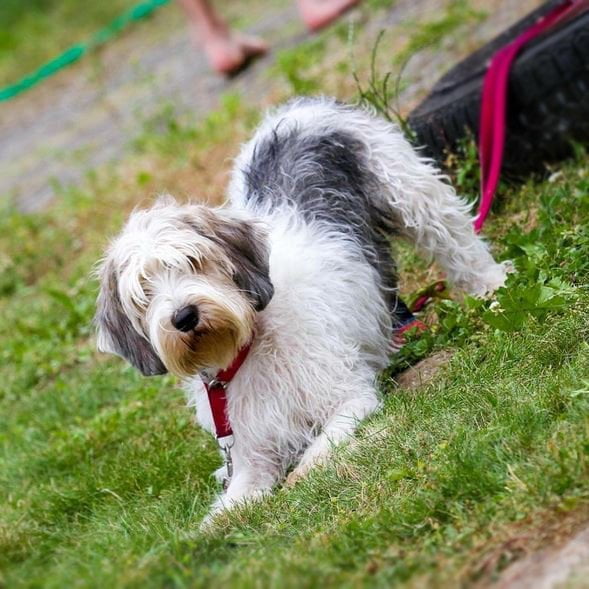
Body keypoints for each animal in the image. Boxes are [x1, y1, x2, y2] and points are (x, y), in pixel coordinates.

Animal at [94, 97, 508, 520]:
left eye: (195, 261)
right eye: (144, 292)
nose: (184, 316)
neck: (248, 344)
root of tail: (296, 110)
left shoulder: (349, 400)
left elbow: (320, 447)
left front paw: (303, 473)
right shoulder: (252, 455)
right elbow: (233, 501)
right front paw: (215, 522)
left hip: (411, 192)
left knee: (457, 243)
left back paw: (491, 287)